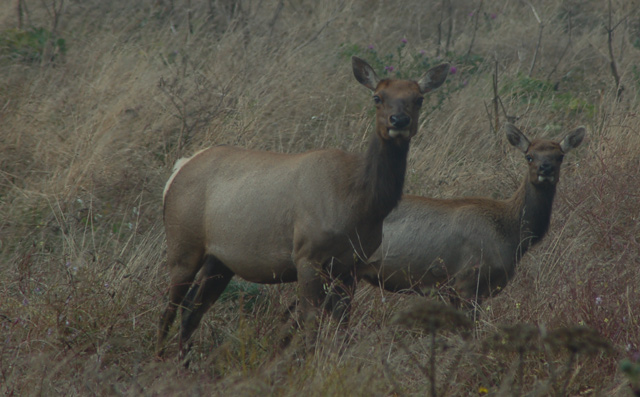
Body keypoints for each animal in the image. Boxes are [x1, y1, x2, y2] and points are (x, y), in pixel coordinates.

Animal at [156, 55, 450, 356]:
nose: (399, 120)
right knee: (170, 306)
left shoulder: (351, 265)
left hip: (220, 260)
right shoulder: (307, 255)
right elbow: (311, 321)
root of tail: (179, 169)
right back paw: (158, 356)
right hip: (183, 242)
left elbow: (342, 322)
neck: (360, 204)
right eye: (377, 97)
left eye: (418, 99)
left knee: (192, 309)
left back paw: (183, 359)